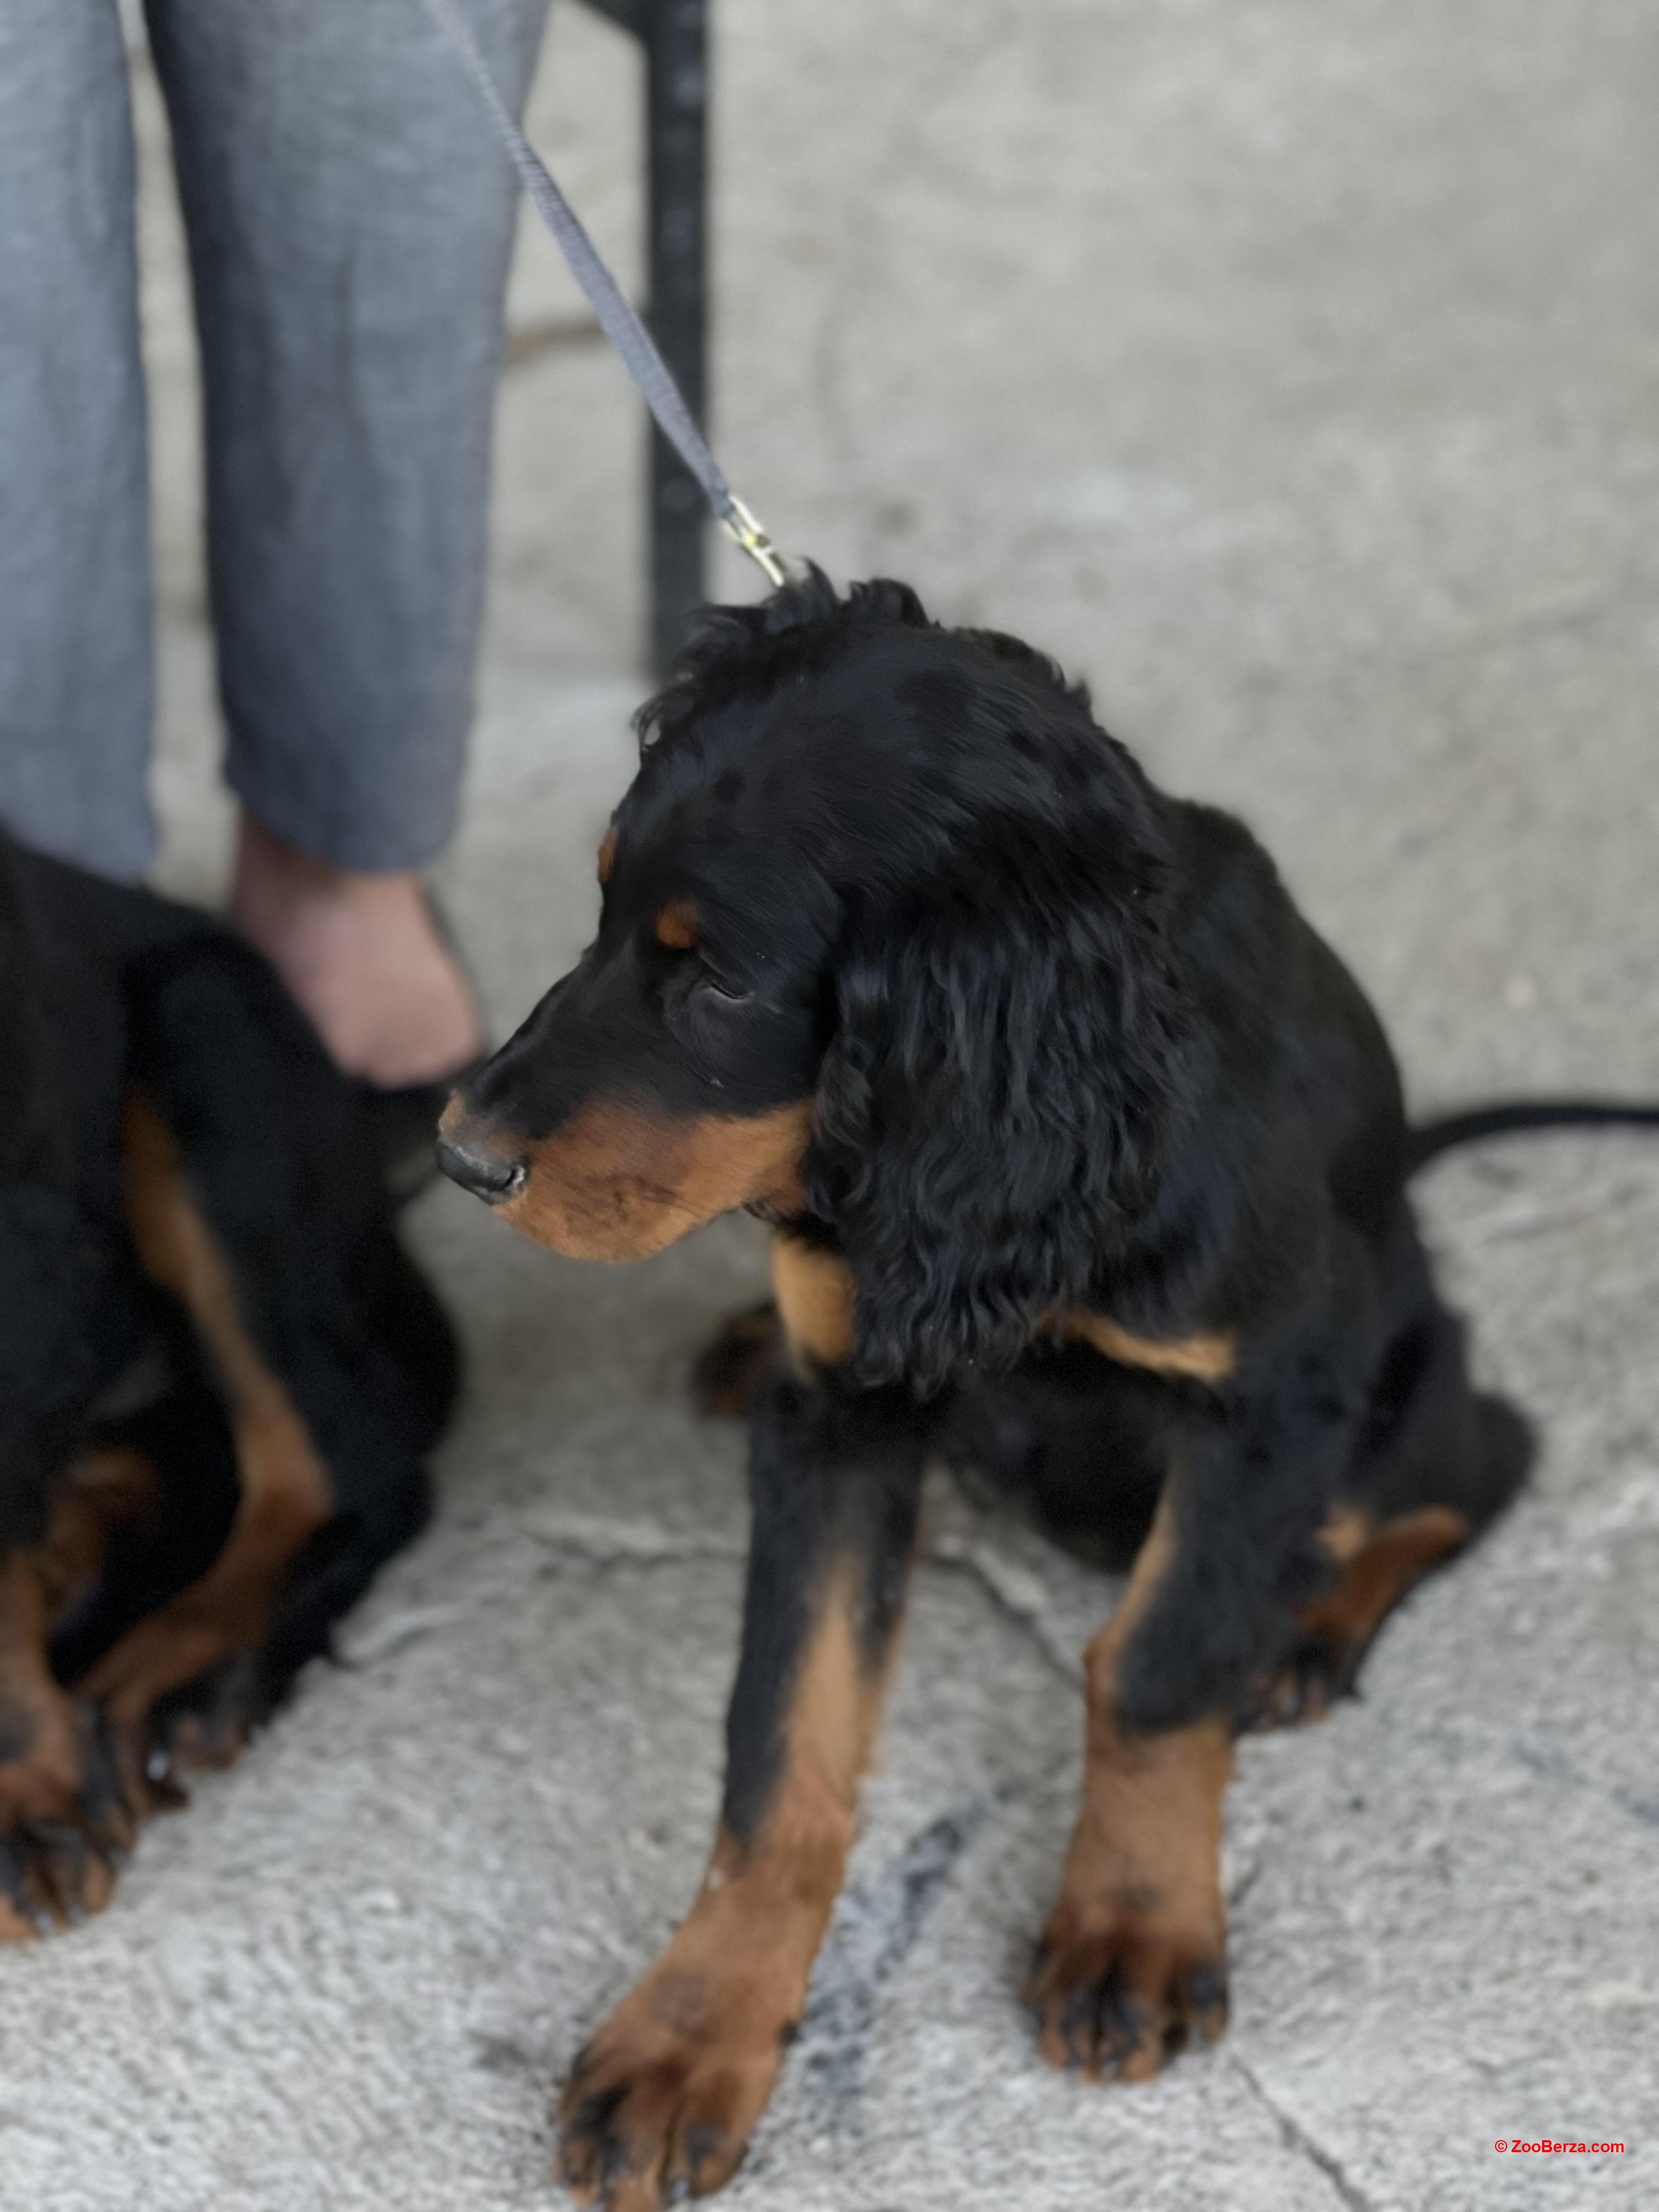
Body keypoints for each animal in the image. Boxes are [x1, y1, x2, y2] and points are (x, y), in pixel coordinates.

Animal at [442, 575, 1659, 2212]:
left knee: (1478, 1464)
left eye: (720, 976)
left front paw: (1133, 1929)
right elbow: (787, 1734)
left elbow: (1155, 1662)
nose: (459, 1154)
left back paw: (1309, 1631)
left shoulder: (1272, 1395)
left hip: (1395, 1371)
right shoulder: (841, 1411)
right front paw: (696, 2030)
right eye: (603, 907)